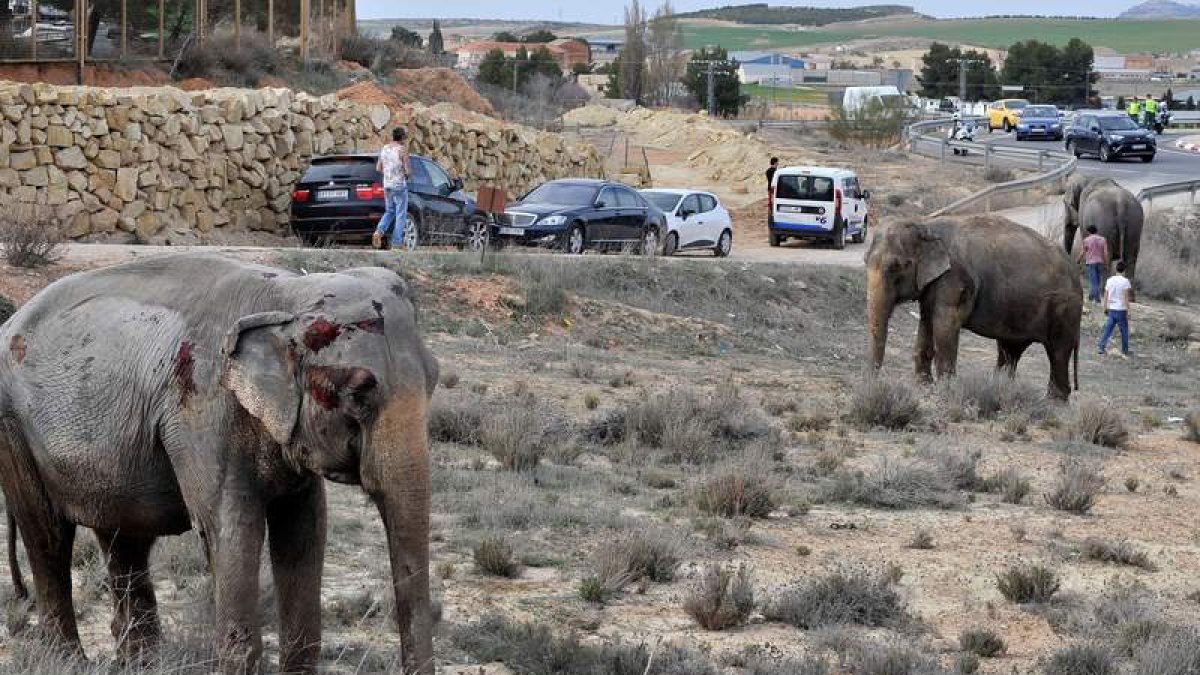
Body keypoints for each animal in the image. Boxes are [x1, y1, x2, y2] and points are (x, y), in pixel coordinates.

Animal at [0, 254, 439, 674]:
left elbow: (305, 528)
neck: (287, 296)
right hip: (14, 430)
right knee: (48, 536)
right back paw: (69, 661)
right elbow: (232, 529)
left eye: (434, 380)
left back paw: (141, 664)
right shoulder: (203, 410)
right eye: (357, 393)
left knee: (125, 539)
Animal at [866, 215, 1082, 400]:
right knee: (1010, 350)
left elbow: (945, 325)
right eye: (865, 261)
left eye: (897, 267)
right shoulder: (933, 284)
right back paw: (1001, 389)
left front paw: (946, 390)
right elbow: (926, 321)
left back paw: (1054, 402)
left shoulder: (955, 280)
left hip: (1064, 309)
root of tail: (1076, 273)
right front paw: (923, 386)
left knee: (1058, 352)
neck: (926, 225)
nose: (875, 383)